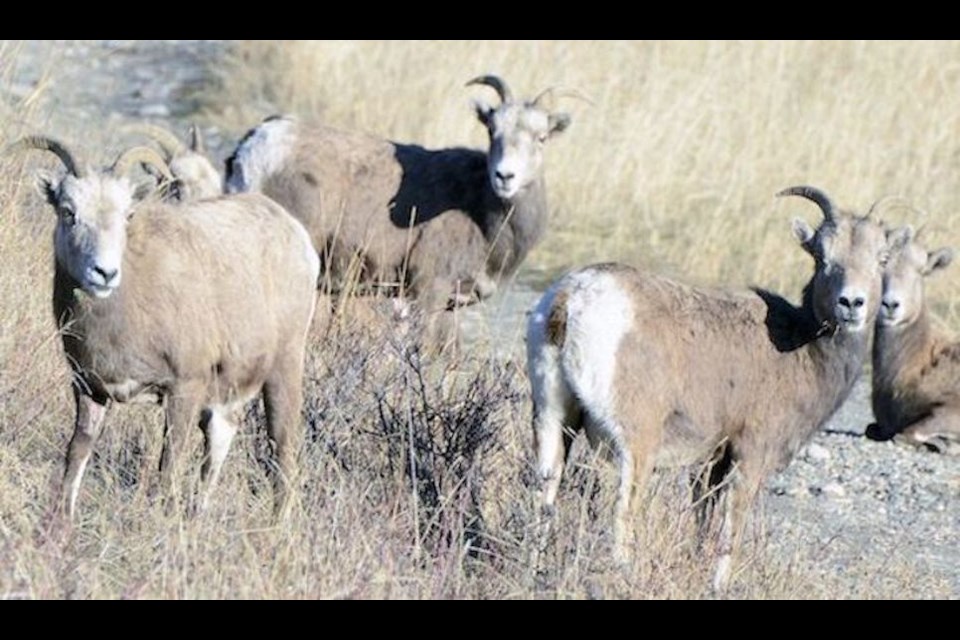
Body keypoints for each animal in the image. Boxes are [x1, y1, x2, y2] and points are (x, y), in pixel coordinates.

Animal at [9, 136, 318, 520]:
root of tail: (297, 237)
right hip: (224, 397)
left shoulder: (184, 388)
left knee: (282, 449)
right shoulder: (89, 388)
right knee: (218, 445)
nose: (104, 273)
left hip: (282, 370)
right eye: (69, 211)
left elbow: (168, 466)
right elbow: (76, 454)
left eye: (127, 215)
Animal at [223, 76, 568, 350]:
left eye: (541, 138)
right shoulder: (429, 290)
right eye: (492, 131)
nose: (504, 176)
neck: (480, 215)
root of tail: (256, 151)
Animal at [528, 185, 888, 592]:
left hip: (553, 418)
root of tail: (571, 299)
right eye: (822, 257)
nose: (852, 303)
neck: (801, 348)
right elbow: (731, 528)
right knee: (623, 511)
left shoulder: (710, 461)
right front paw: (718, 585)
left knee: (545, 489)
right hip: (637, 445)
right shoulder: (751, 455)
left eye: (881, 259)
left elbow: (703, 518)